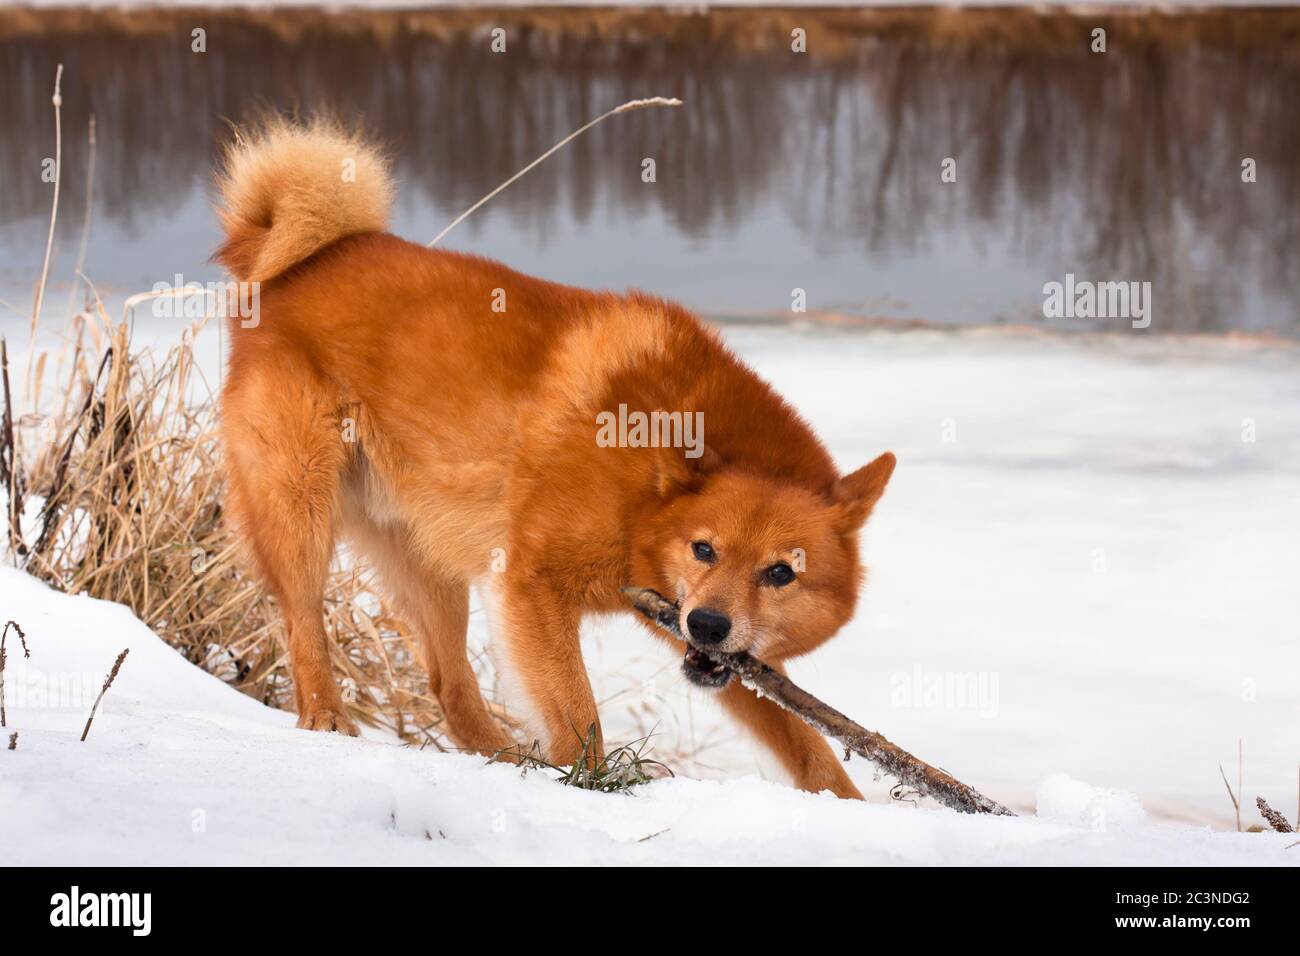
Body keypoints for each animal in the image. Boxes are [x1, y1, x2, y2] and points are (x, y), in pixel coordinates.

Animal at [220, 119, 894, 801]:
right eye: (703, 549)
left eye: (781, 573)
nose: (707, 624)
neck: (643, 487)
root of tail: (290, 266)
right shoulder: (531, 584)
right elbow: (578, 716)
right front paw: (590, 786)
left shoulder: (721, 647)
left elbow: (808, 743)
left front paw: (849, 805)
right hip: (302, 511)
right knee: (304, 624)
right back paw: (326, 718)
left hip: (430, 563)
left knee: (451, 687)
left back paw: (501, 759)